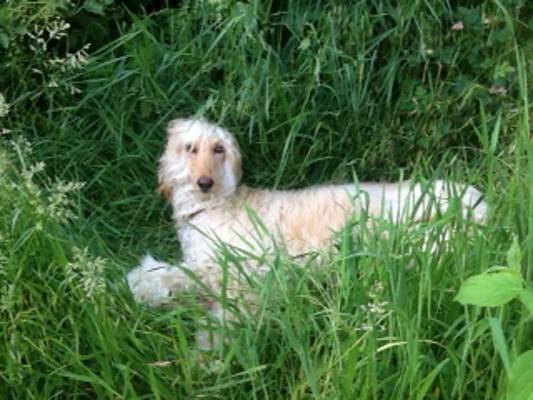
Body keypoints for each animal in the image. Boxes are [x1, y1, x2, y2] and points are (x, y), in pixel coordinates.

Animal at [127, 118, 486, 349]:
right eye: (190, 148)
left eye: (218, 149)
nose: (205, 183)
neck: (215, 205)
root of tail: (479, 203)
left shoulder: (240, 271)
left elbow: (189, 283)